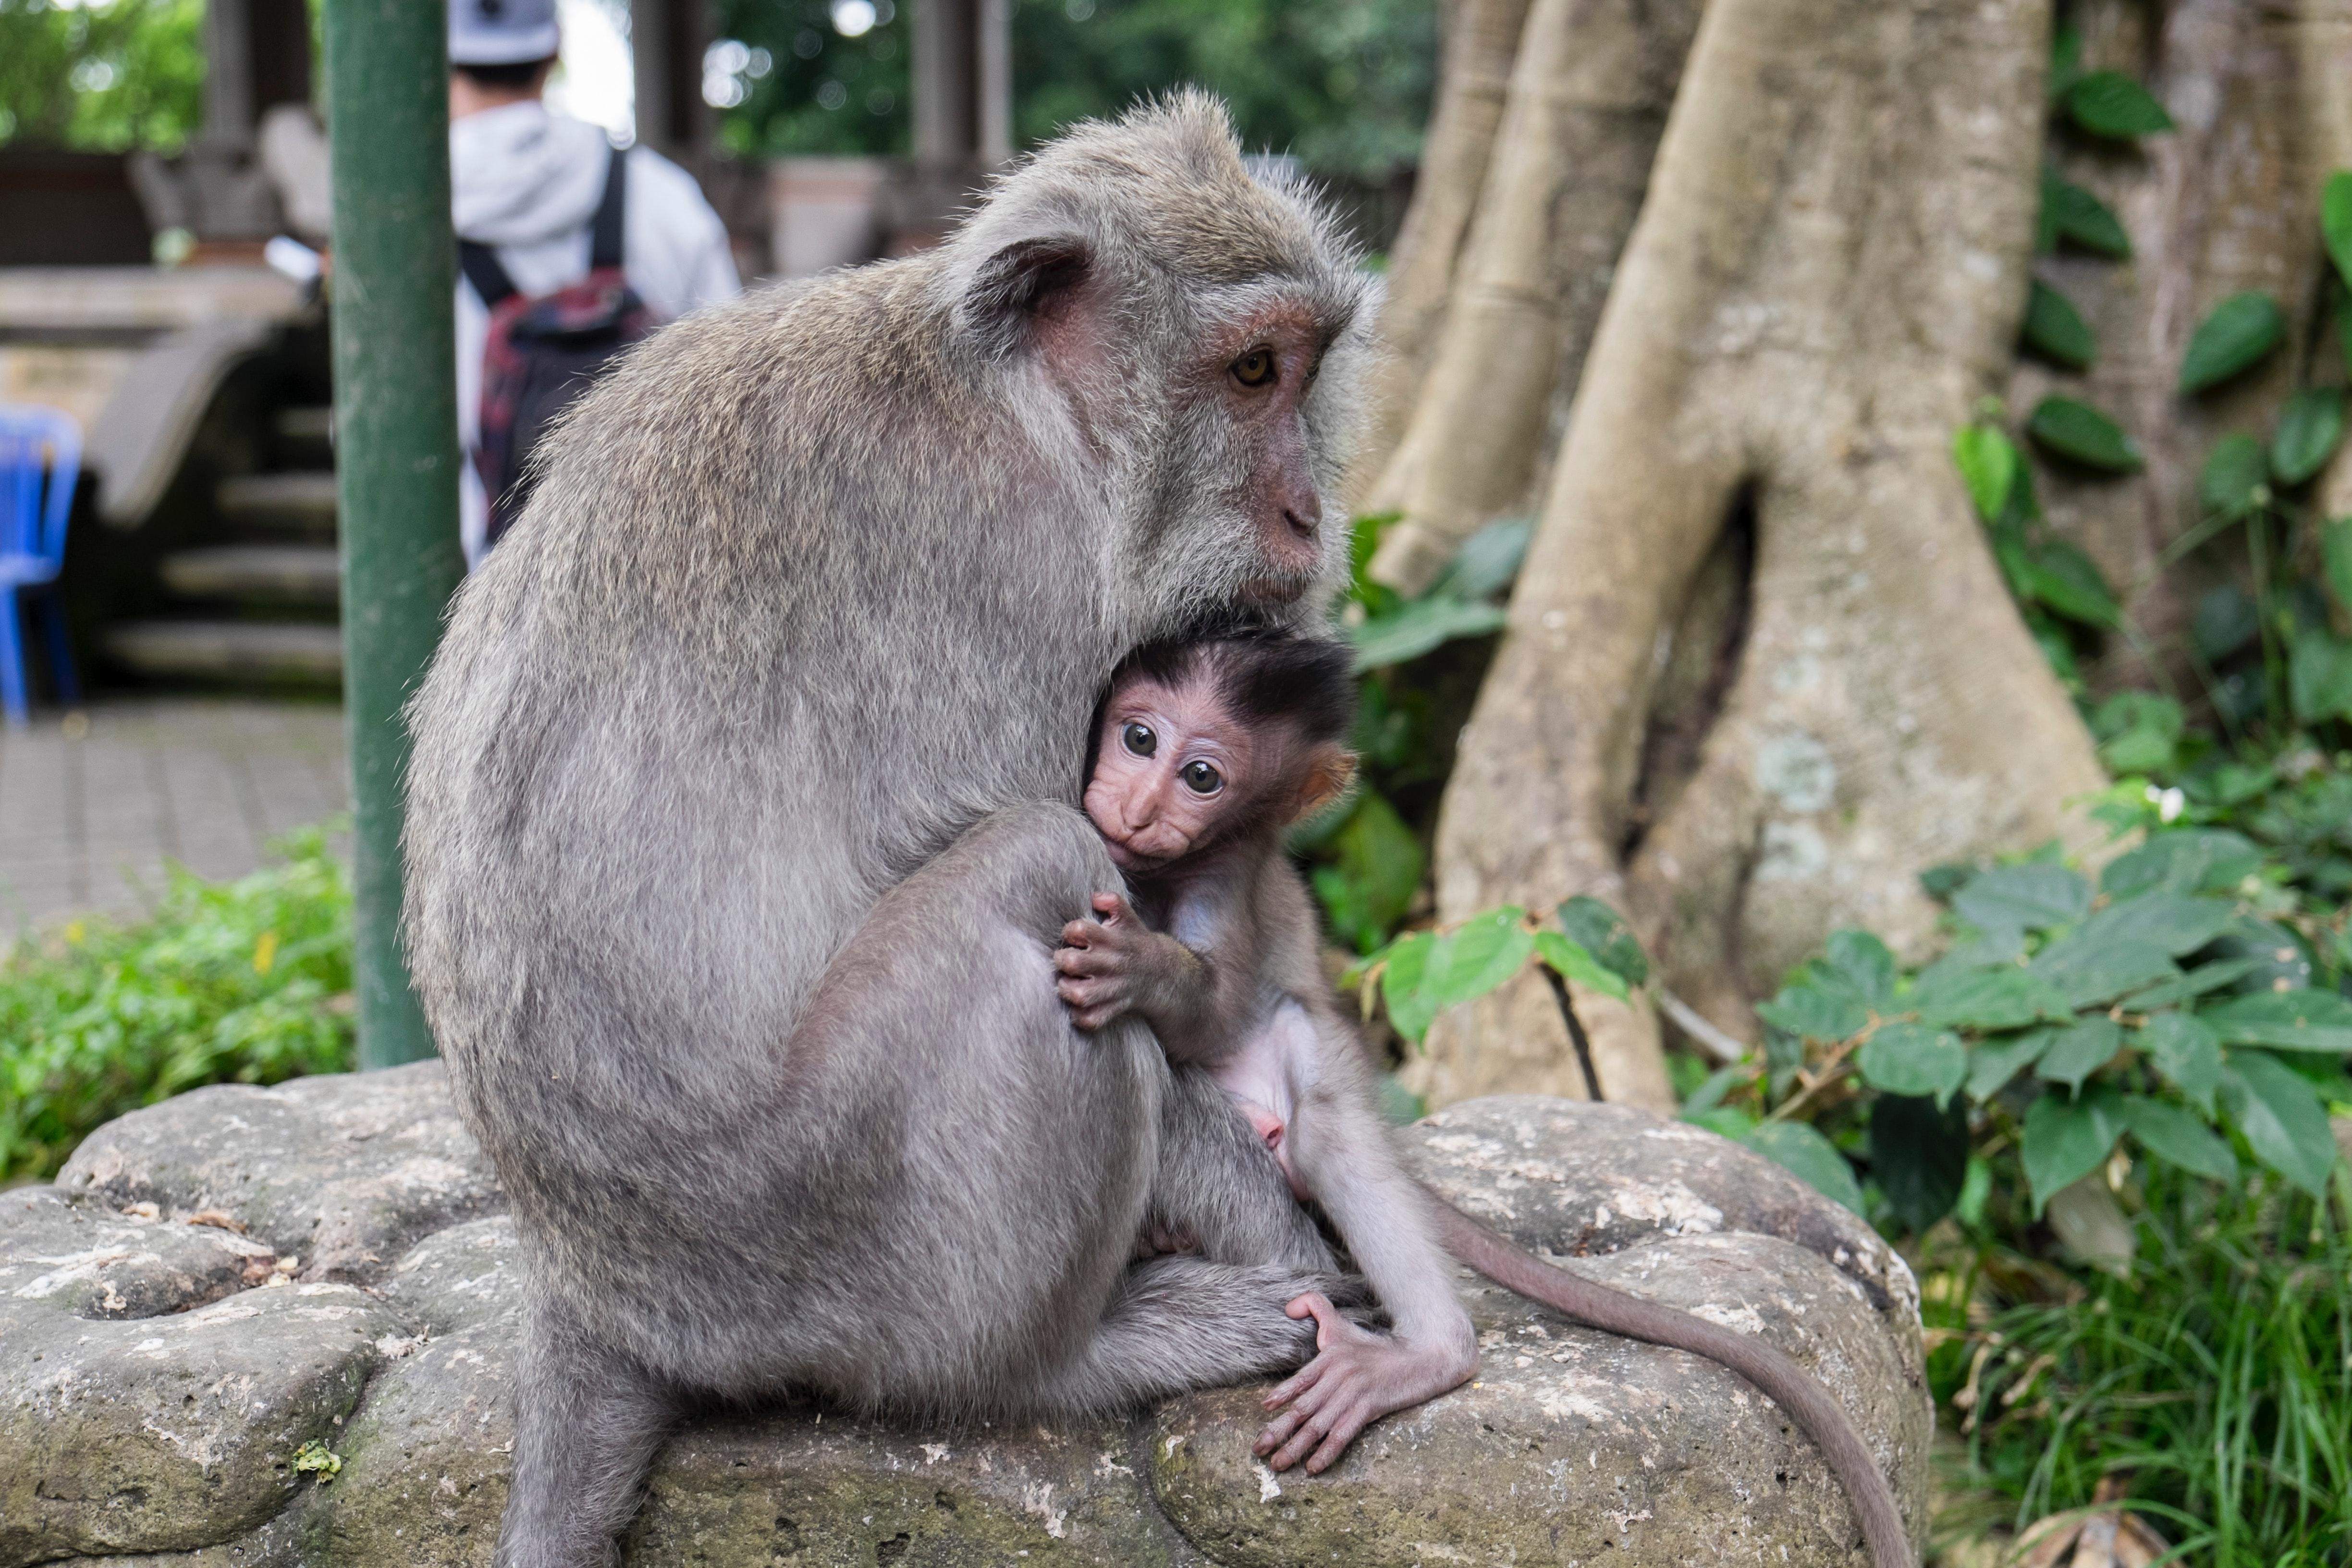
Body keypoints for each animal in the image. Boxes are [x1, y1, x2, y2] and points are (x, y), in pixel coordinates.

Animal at [409, 92, 1373, 1561]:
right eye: (1250, 371)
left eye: (1303, 370)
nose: (1306, 514)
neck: (1027, 415)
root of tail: (599, 1290)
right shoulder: (1026, 584)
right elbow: (1106, 918)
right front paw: (1296, 1243)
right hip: (848, 1235)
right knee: (1035, 869)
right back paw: (1074, 1356)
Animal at [1058, 630, 1919, 1568]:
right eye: (1139, 738)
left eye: (1203, 776)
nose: (1140, 806)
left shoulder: (1231, 869)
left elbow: (1212, 1008)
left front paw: (1140, 966)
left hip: (1308, 1058)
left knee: (1328, 1138)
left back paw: (1431, 1352)